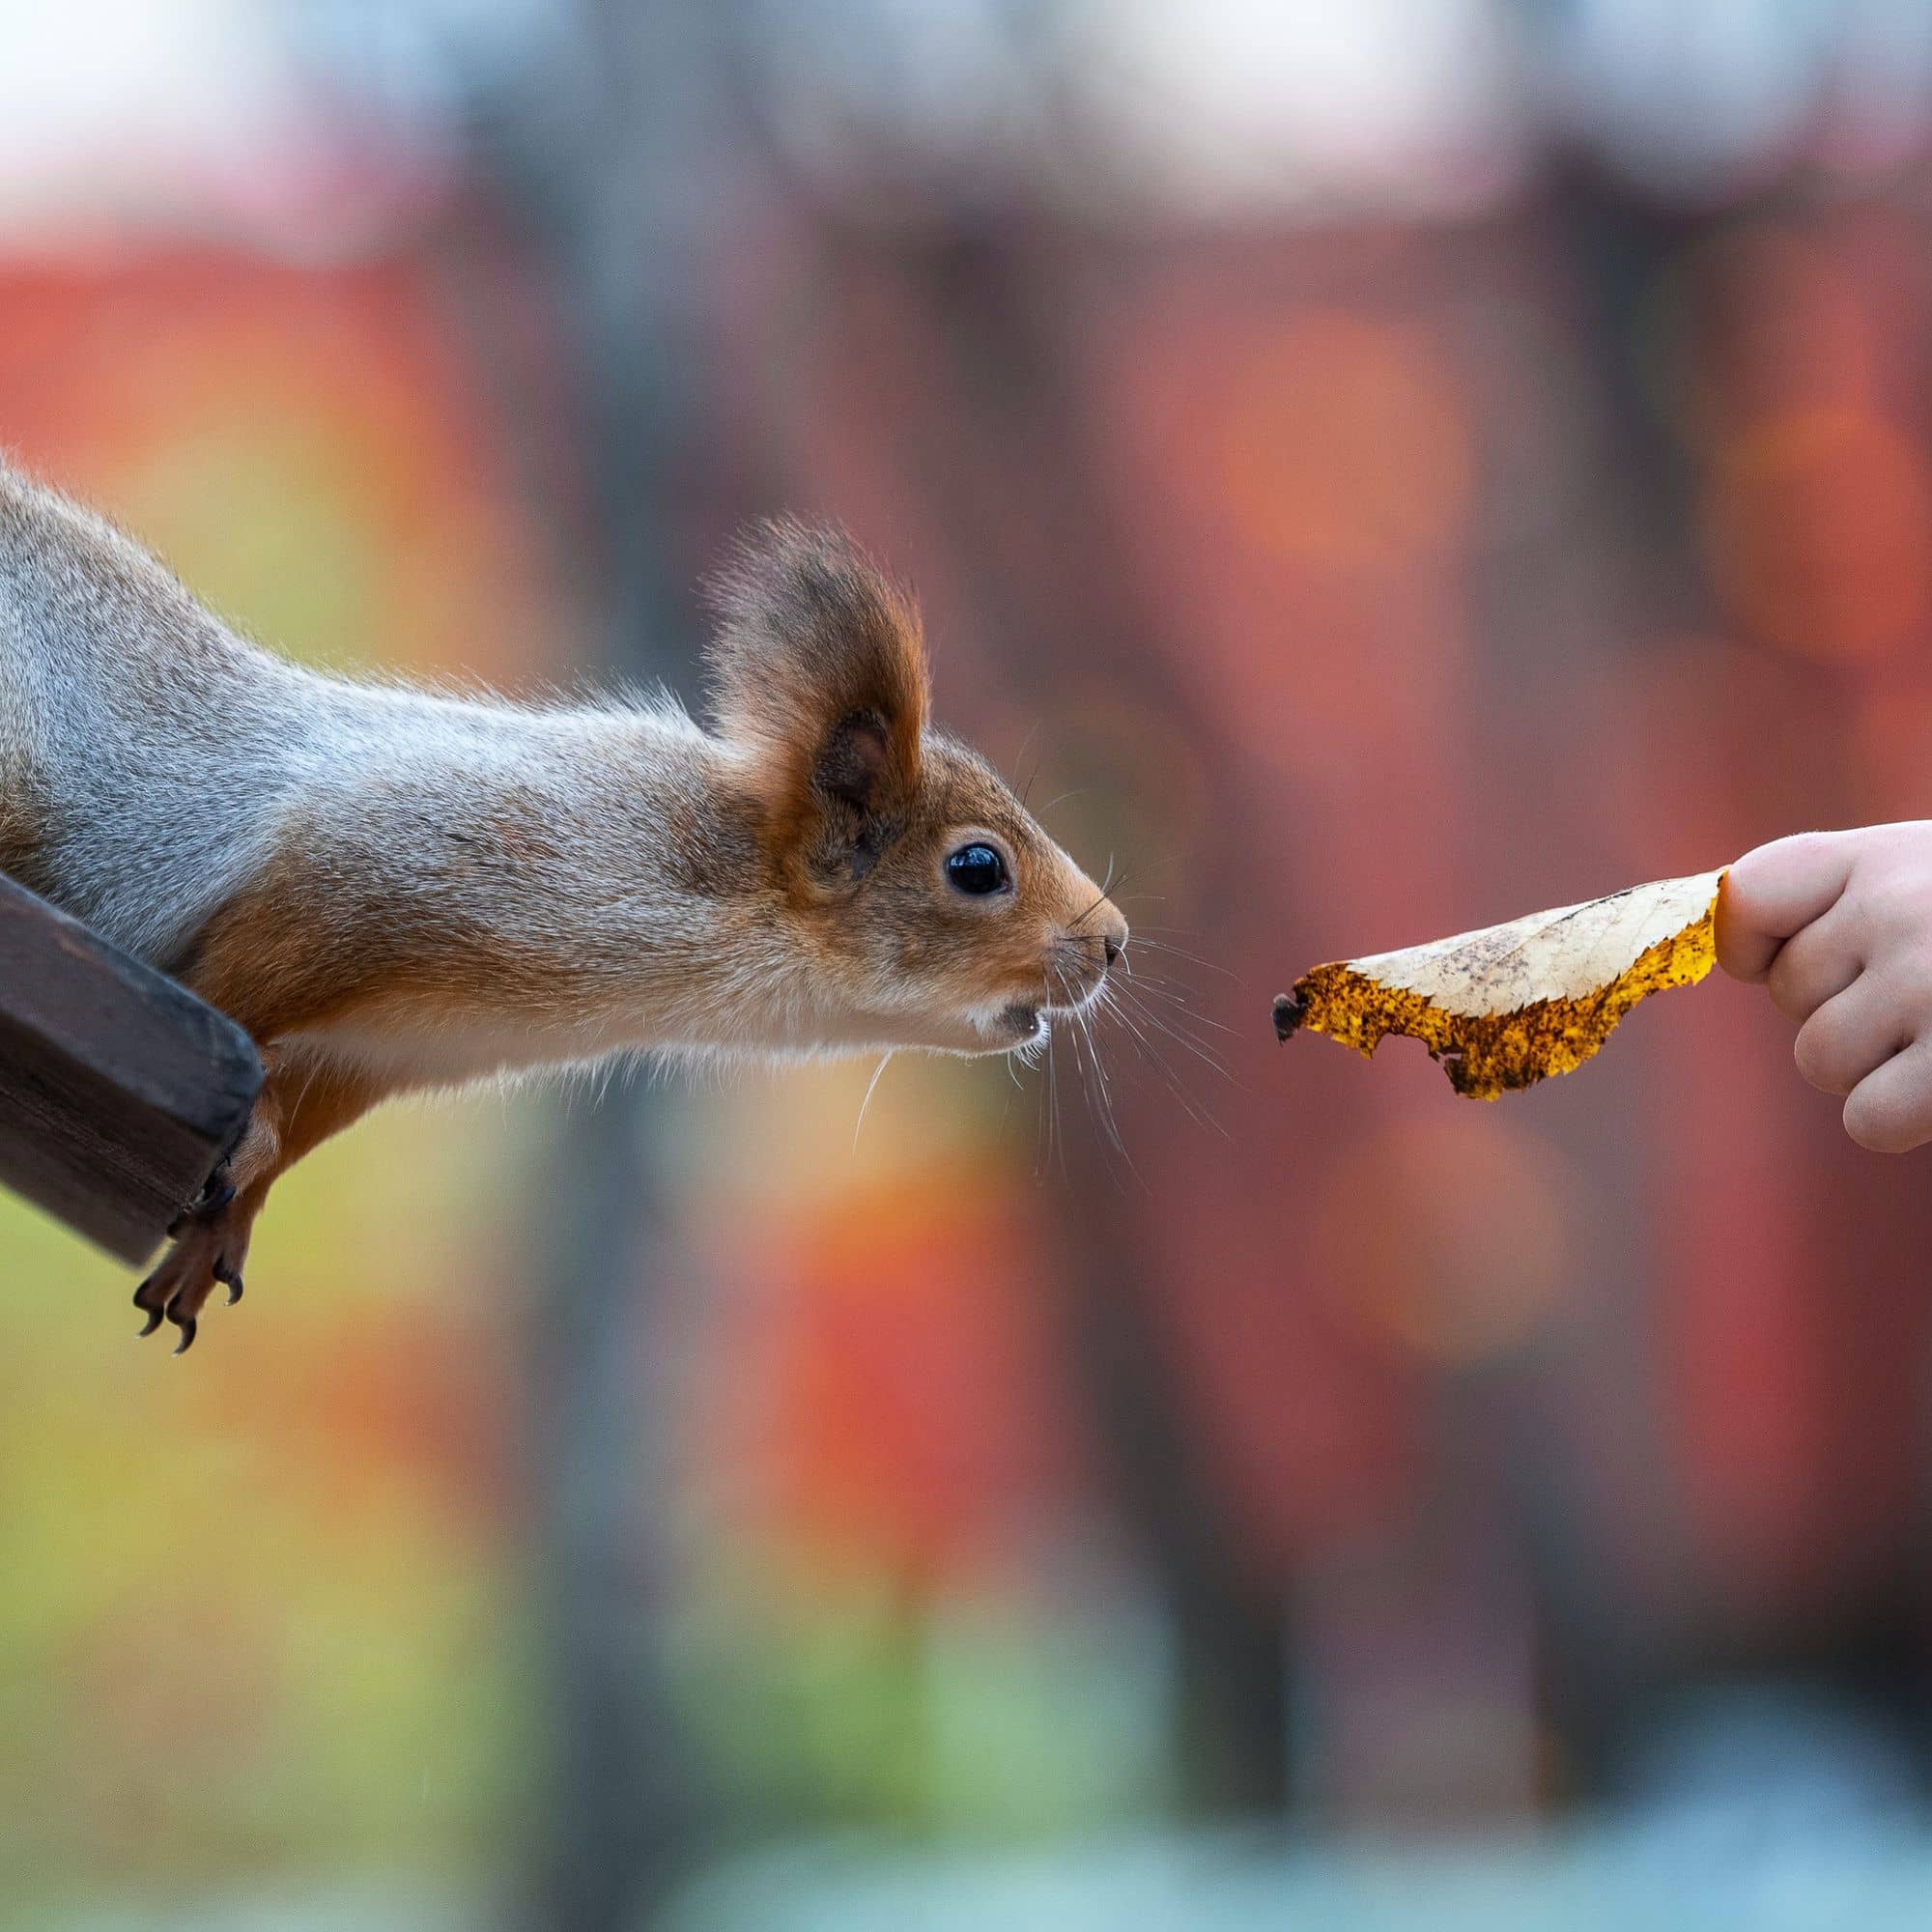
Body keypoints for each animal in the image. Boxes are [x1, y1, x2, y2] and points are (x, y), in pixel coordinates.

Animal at [0, 460, 1128, 1352]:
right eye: (977, 867)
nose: (1114, 942)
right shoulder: (379, 869)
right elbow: (233, 1000)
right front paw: (244, 1139)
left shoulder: (376, 1052)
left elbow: (295, 1113)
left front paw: (220, 1229)